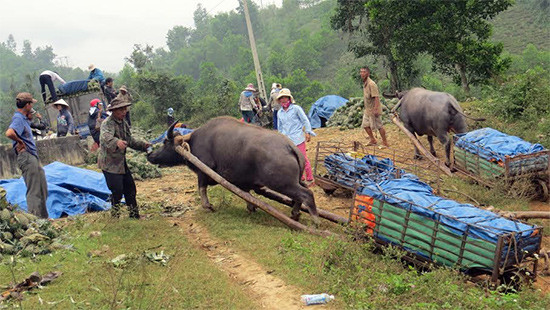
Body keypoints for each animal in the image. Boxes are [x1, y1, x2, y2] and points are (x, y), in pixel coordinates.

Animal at [148, 117, 320, 223]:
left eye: (165, 143)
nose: (150, 155)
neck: (194, 142)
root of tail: (290, 147)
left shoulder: (203, 171)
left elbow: (201, 189)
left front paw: (208, 206)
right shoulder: (243, 180)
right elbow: (247, 194)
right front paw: (251, 207)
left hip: (282, 183)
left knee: (306, 194)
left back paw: (314, 220)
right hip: (295, 181)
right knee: (300, 194)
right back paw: (295, 214)